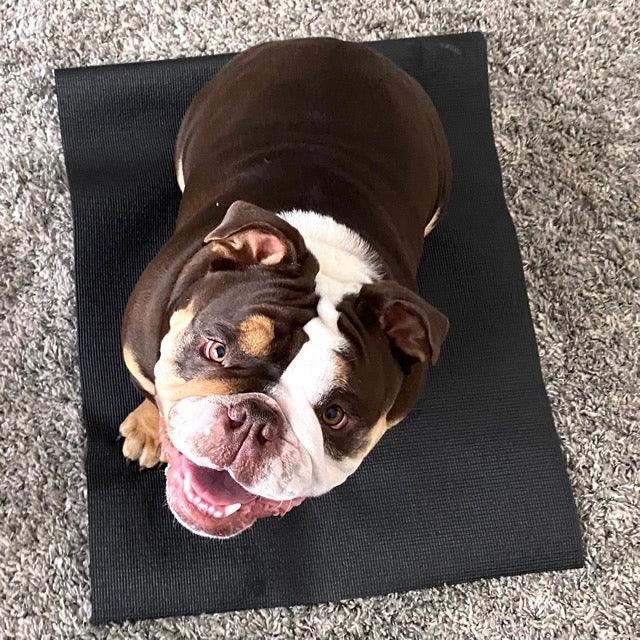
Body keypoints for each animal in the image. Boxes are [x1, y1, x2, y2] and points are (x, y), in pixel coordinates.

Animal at [119, 37, 450, 536]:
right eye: (216, 350)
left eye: (334, 416)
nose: (254, 419)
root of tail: (338, 47)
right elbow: (148, 387)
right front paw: (144, 427)